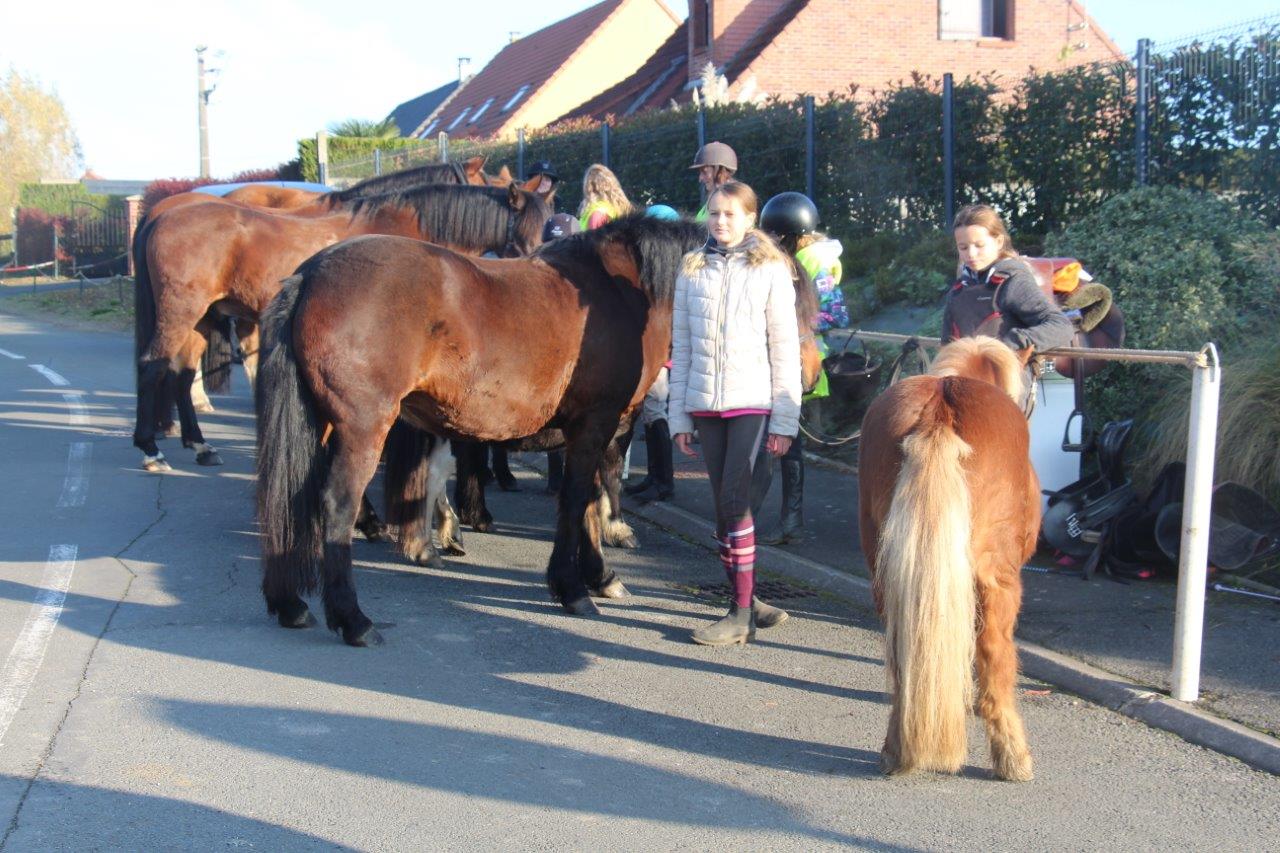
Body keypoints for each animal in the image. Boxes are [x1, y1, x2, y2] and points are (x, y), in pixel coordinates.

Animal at [133, 180, 550, 471]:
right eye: (522, 230)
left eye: (547, 224)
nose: (539, 269)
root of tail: (161, 215)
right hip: (180, 310)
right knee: (152, 367)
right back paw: (150, 449)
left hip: (202, 317)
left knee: (182, 373)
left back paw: (199, 445)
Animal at [254, 213, 824, 645]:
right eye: (790, 295)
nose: (810, 377)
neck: (622, 293)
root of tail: (310, 275)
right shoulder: (596, 425)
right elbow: (576, 501)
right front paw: (572, 588)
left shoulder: (597, 430)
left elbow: (591, 501)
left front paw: (601, 577)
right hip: (361, 428)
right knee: (335, 505)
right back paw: (352, 619)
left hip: (322, 426)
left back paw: (290, 603)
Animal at [855, 333, 1034, 778]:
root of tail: (939, 409)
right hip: (998, 581)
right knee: (996, 656)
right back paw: (1012, 757)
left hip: (886, 575)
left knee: (901, 660)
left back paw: (896, 748)